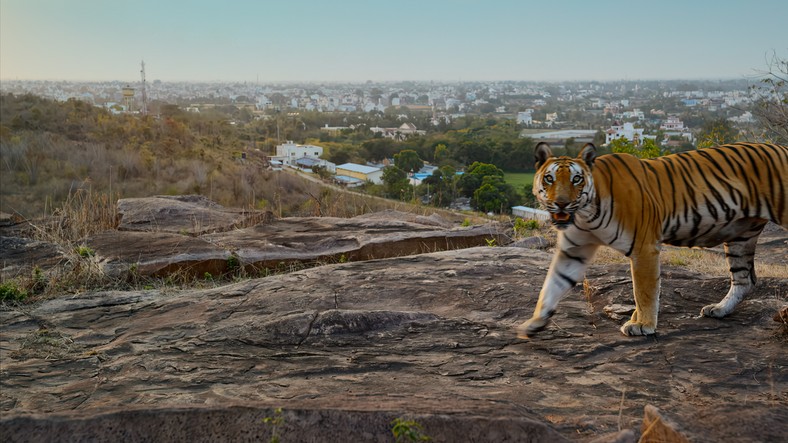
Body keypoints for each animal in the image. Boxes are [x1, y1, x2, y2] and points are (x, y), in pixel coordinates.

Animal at [516, 142, 788, 340]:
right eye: (549, 179)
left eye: (576, 179)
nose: (561, 203)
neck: (585, 214)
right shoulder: (574, 249)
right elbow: (552, 284)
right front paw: (534, 323)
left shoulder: (644, 248)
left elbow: (643, 291)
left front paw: (642, 324)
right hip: (740, 237)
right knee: (744, 280)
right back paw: (719, 310)